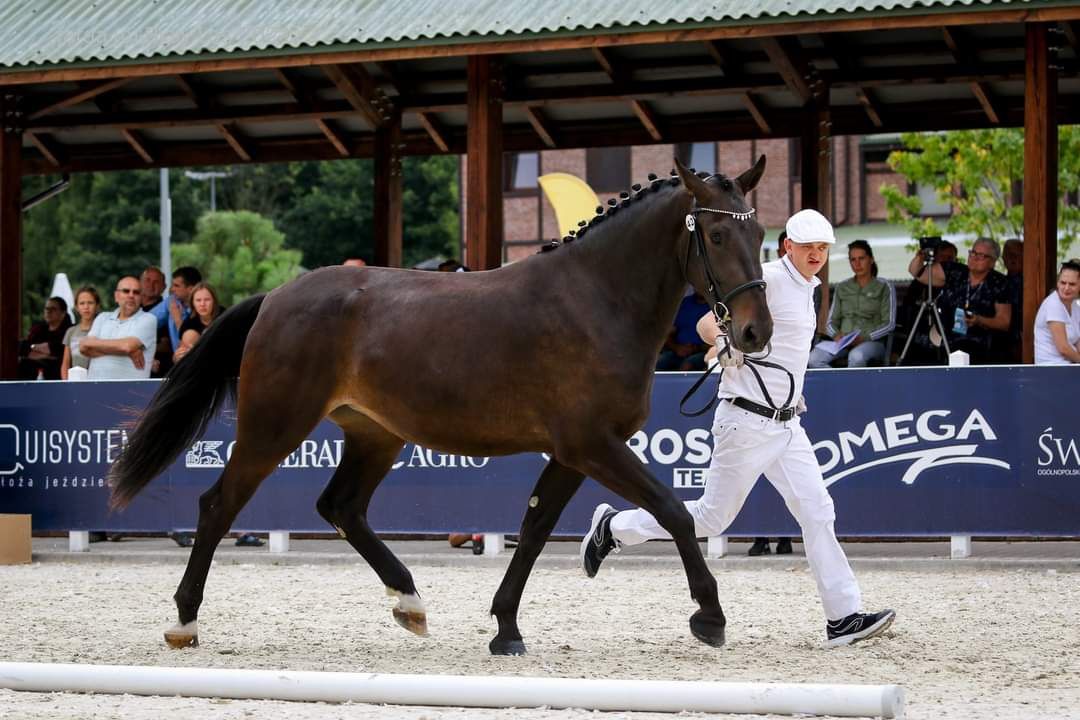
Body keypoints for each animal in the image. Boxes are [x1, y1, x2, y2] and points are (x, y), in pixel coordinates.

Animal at [107, 160, 768, 656]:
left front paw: (506, 629)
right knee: (219, 505)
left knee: (340, 506)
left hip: (375, 434)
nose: (756, 331)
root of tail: (275, 296)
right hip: (274, 425)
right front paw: (710, 616)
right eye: (715, 236)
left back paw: (410, 602)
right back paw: (184, 622)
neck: (594, 299)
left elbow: (534, 527)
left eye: (759, 235)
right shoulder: (591, 444)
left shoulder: (573, 452)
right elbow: (672, 511)